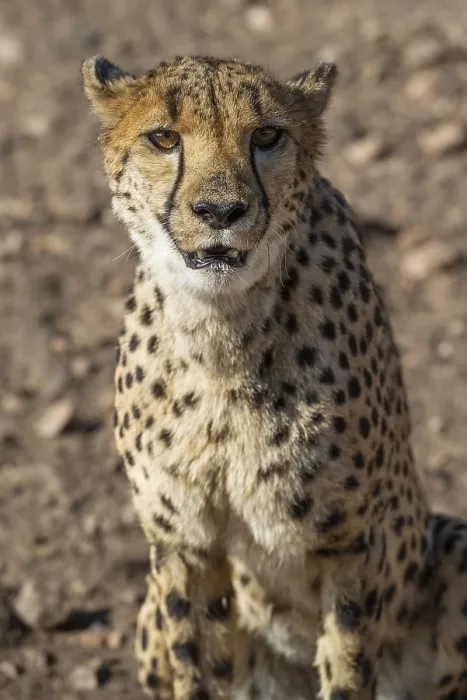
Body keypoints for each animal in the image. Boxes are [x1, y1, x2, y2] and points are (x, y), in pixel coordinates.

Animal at [82, 53, 467, 700]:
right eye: (164, 138)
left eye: (266, 136)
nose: (220, 212)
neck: (221, 339)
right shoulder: (183, 545)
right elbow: (195, 661)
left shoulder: (350, 546)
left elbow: (346, 666)